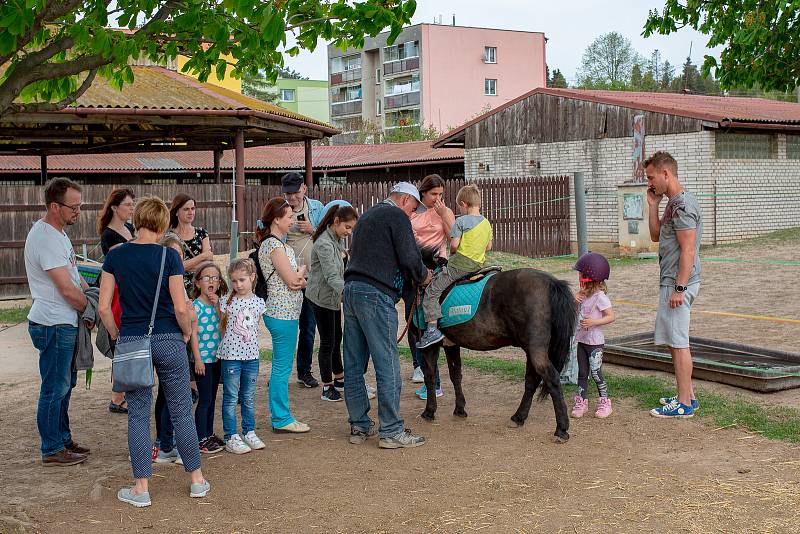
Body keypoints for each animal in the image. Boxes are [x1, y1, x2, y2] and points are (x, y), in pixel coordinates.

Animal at [412, 250, 576, 444]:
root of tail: (551, 282)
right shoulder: (451, 345)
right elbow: (456, 375)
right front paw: (459, 409)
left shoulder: (430, 347)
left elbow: (429, 377)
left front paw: (429, 411)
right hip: (531, 350)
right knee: (531, 381)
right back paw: (518, 417)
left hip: (536, 349)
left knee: (552, 379)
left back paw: (561, 429)